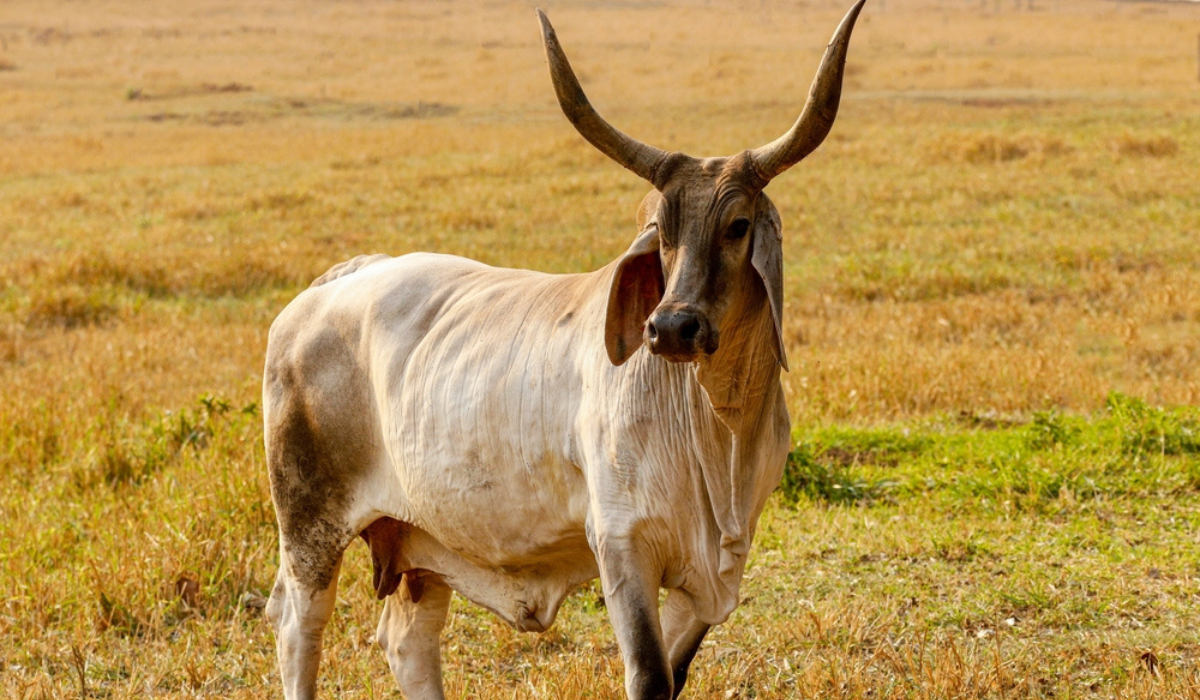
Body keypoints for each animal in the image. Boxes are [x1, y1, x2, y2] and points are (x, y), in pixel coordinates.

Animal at [260, 2, 864, 696]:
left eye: (737, 225)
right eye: (661, 230)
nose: (671, 328)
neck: (719, 425)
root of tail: (330, 286)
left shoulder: (712, 576)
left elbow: (674, 674)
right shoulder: (623, 546)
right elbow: (649, 675)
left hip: (421, 543)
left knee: (408, 640)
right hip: (308, 524)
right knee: (298, 626)